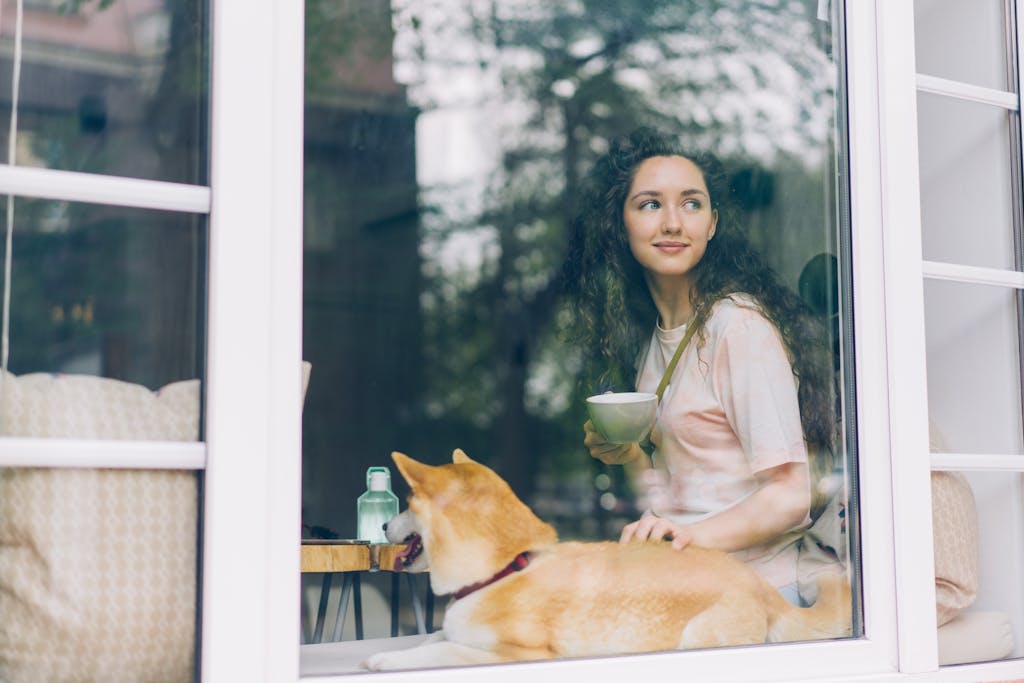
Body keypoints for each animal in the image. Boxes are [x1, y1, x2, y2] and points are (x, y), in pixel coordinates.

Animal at [364, 450, 851, 671]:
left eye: (407, 503)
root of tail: (763, 589)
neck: (503, 571)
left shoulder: (519, 655)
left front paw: (382, 662)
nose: (383, 526)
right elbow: (432, 639)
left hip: (695, 639)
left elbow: (442, 649)